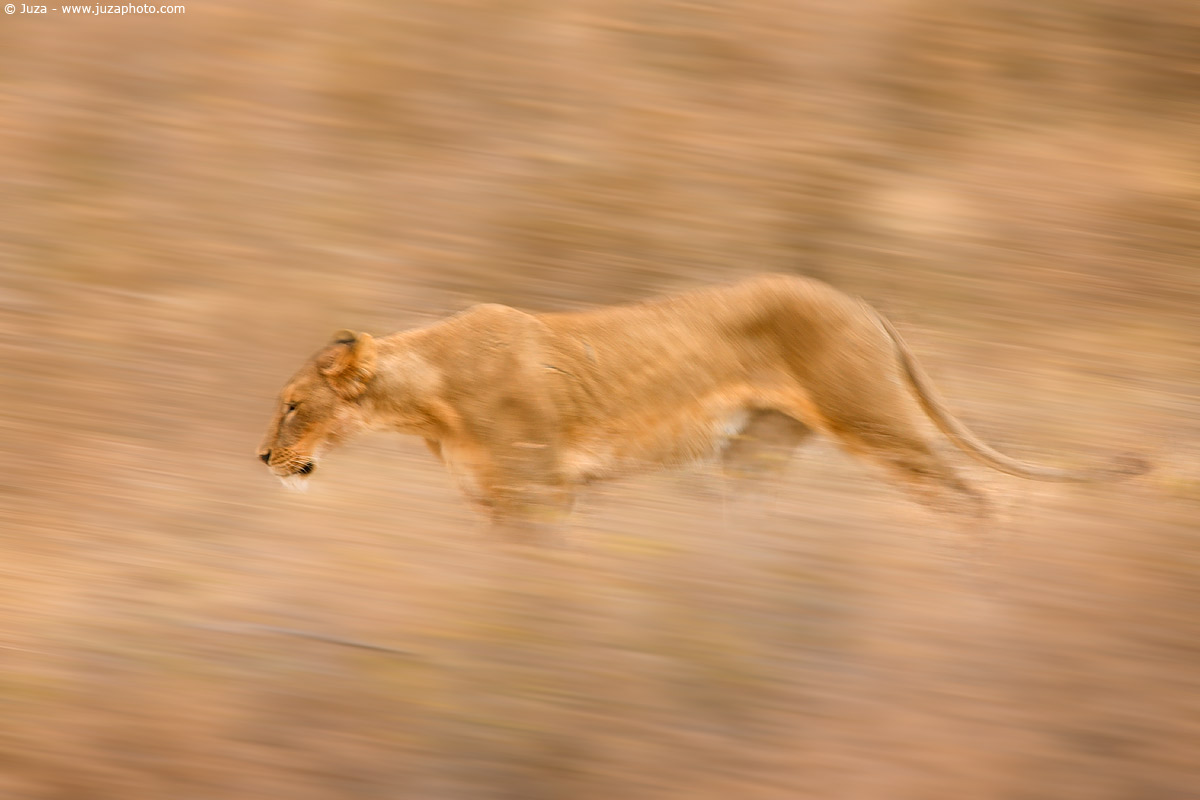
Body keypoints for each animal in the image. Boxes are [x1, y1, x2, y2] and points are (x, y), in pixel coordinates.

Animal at [257, 274, 1147, 532]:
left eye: (292, 404)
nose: (262, 457)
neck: (424, 402)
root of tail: (861, 301)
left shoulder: (540, 487)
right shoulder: (497, 499)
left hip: (875, 421)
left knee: (970, 496)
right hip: (752, 456)